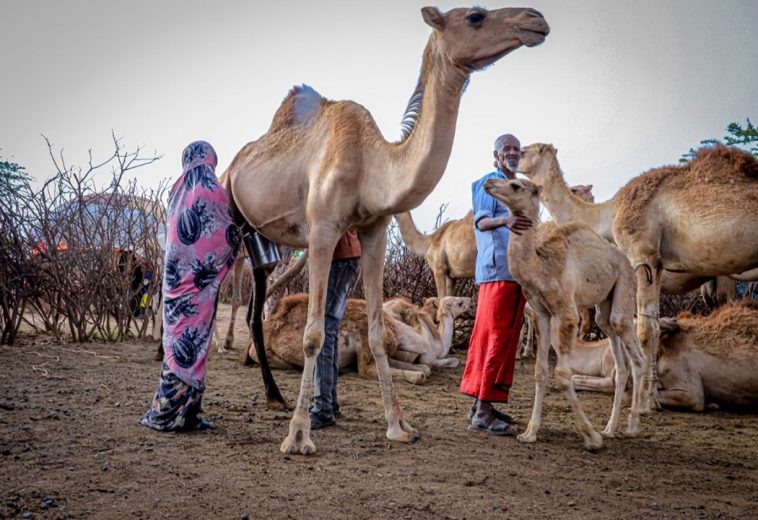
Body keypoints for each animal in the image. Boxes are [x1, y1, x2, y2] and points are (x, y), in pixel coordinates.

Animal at [225, 6, 549, 454]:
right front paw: (298, 436)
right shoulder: (323, 229)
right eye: (475, 16)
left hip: (265, 241)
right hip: (229, 216)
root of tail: (234, 164)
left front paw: (398, 426)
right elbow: (313, 335)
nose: (536, 19)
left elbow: (378, 332)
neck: (372, 164)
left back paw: (275, 396)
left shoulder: (374, 230)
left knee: (256, 307)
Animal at [484, 178, 645, 450]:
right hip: (604, 304)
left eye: (515, 185)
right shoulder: (541, 313)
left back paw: (633, 426)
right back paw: (610, 428)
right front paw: (529, 432)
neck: (542, 268)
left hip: (625, 285)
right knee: (618, 356)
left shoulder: (567, 313)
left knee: (635, 352)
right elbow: (540, 371)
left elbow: (562, 373)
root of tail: (626, 260)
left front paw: (591, 438)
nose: (488, 182)